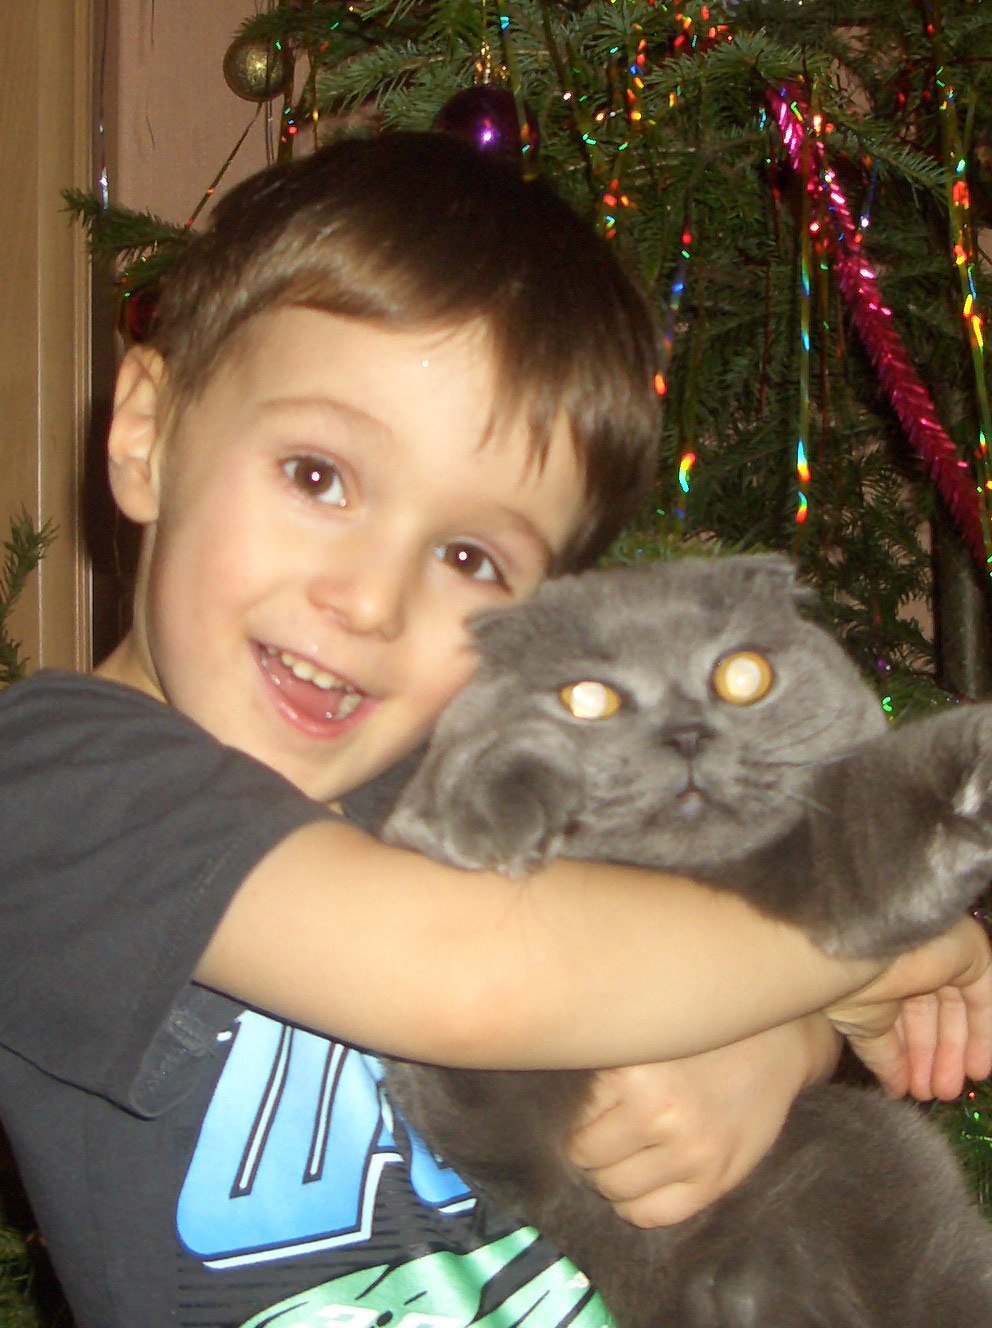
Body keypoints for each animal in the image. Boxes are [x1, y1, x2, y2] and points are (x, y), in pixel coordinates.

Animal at [379, 553, 992, 1328]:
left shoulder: (836, 866)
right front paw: (503, 798)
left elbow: (890, 817)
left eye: (743, 675)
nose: (688, 734)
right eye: (588, 699)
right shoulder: (484, 1083)